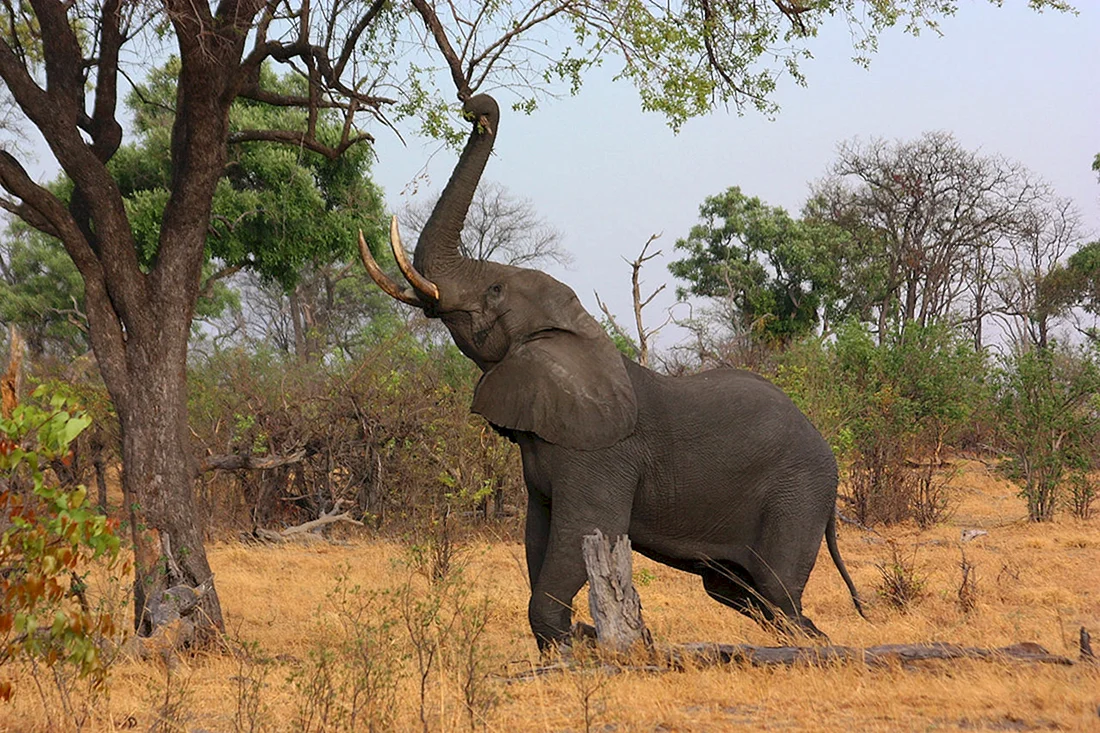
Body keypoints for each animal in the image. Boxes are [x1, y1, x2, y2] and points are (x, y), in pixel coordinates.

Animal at [359, 93, 864, 649]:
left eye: (494, 290)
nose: (477, 108)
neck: (573, 332)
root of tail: (828, 455)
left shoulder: (600, 456)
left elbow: (579, 534)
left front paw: (575, 640)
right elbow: (539, 537)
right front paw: (577, 639)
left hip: (797, 495)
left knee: (778, 594)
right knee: (745, 595)